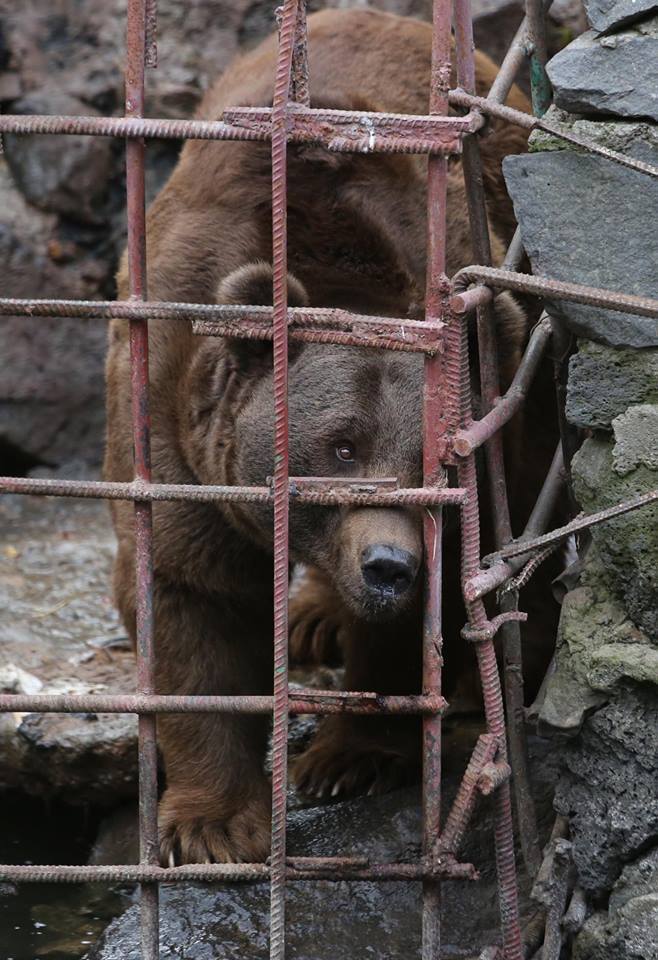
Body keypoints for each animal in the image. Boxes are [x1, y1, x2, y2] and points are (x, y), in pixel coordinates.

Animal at [104, 5, 552, 864]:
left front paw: (346, 761)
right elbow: (189, 599)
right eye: (340, 446)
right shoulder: (172, 413)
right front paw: (212, 826)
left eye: (434, 461)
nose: (388, 565)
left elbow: (425, 618)